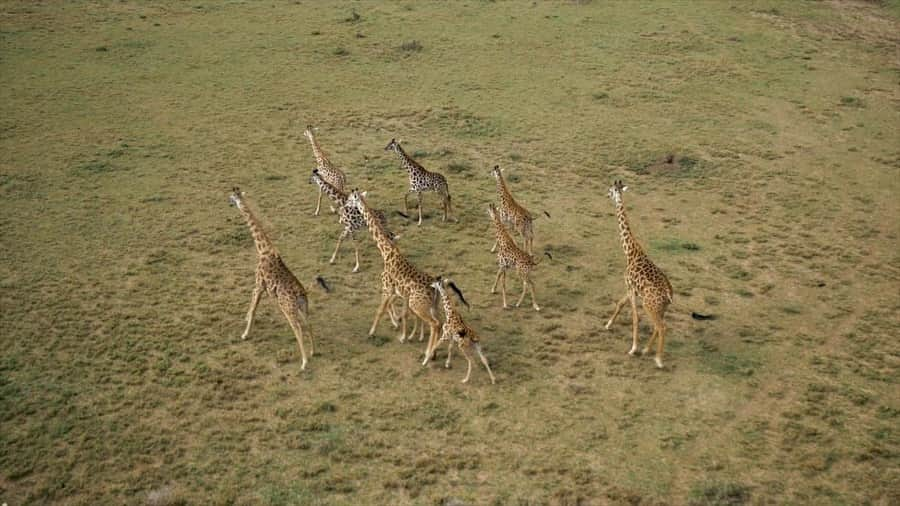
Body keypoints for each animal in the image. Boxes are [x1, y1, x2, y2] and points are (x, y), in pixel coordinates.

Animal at [229, 188, 316, 370]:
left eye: (232, 196)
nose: (230, 202)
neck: (263, 249)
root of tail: (301, 293)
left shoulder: (258, 284)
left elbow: (253, 308)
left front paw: (245, 334)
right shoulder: (261, 287)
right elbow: (253, 307)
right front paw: (246, 321)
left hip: (287, 308)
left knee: (298, 328)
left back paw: (304, 362)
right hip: (303, 307)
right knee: (308, 323)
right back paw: (313, 352)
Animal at [346, 188, 442, 362]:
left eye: (351, 199)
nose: (346, 204)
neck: (386, 251)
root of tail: (435, 289)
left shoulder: (386, 287)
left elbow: (380, 310)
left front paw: (371, 332)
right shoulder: (399, 293)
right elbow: (401, 313)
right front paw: (402, 333)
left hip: (418, 305)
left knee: (435, 324)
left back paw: (427, 355)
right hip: (433, 306)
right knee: (441, 323)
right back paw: (433, 353)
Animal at [604, 181, 676, 368]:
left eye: (610, 190)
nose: (607, 196)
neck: (630, 252)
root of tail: (668, 294)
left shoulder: (630, 288)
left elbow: (635, 317)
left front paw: (633, 348)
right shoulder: (631, 288)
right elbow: (620, 304)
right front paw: (608, 325)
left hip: (649, 305)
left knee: (662, 327)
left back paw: (658, 359)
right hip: (661, 308)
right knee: (659, 327)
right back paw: (647, 350)